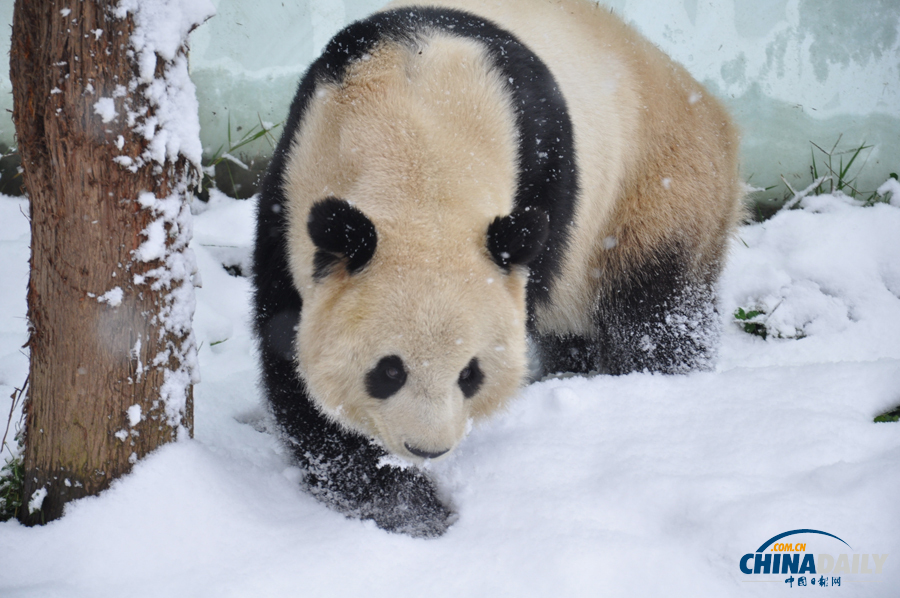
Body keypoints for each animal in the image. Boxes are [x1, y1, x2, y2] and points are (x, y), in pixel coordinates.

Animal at [250, 0, 740, 540]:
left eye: (471, 374)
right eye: (388, 371)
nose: (428, 449)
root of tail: (717, 114)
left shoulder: (542, 177)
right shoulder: (291, 192)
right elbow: (291, 349)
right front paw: (404, 504)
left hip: (655, 190)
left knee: (658, 310)